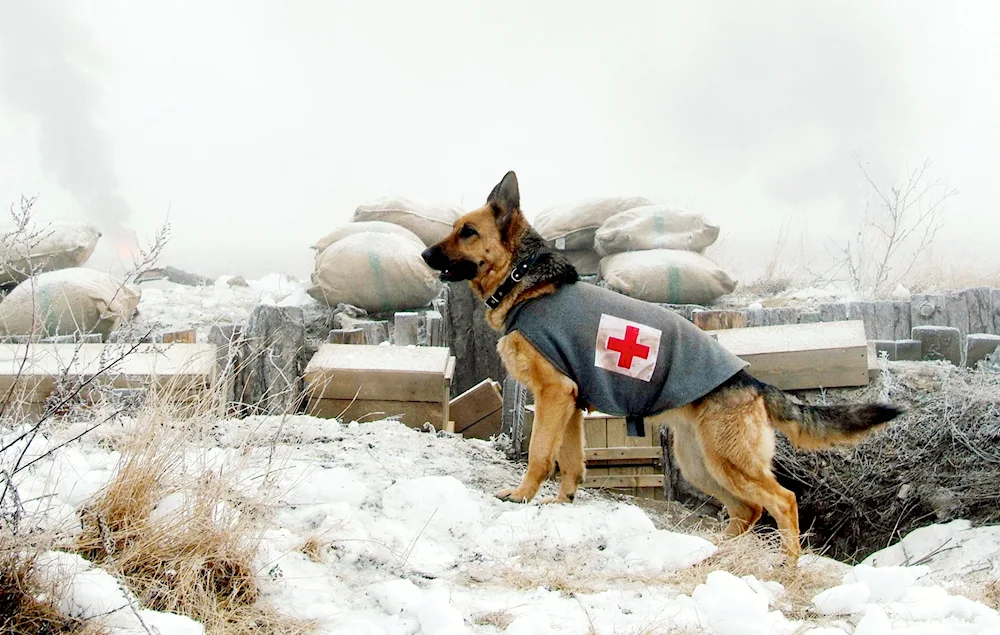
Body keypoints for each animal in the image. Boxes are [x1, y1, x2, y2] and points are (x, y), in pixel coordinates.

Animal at [418, 171, 904, 560]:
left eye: (467, 232)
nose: (424, 256)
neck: (526, 282)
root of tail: (750, 380)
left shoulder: (554, 396)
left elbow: (540, 454)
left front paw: (521, 497)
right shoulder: (571, 406)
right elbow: (571, 462)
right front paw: (562, 503)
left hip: (727, 461)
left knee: (781, 501)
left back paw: (788, 564)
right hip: (700, 463)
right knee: (746, 509)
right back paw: (715, 554)